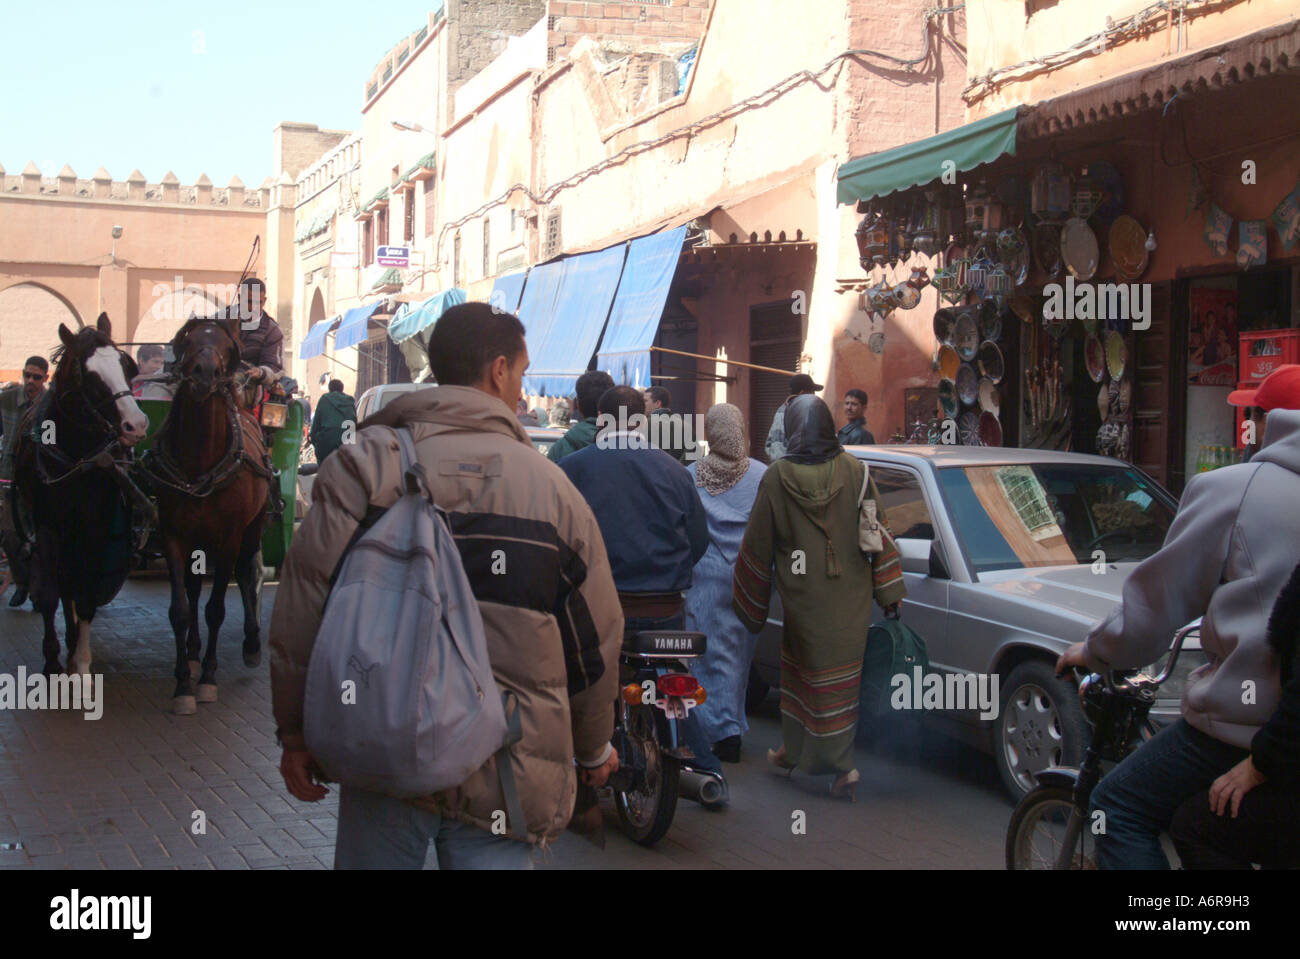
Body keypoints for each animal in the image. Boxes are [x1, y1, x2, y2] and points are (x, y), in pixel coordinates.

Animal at [13, 314, 149, 670]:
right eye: (88, 376)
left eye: (126, 365)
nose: (137, 424)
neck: (74, 456)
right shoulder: (47, 525)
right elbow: (49, 593)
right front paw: (51, 660)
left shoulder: (96, 524)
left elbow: (86, 589)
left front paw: (82, 663)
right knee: (61, 581)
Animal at [146, 311, 270, 712]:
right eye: (188, 341)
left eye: (228, 347)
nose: (204, 373)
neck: (199, 458)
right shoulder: (173, 533)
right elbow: (181, 608)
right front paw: (184, 682)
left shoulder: (229, 537)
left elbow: (216, 608)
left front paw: (208, 680)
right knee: (193, 587)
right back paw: (193, 652)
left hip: (253, 527)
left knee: (247, 574)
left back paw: (251, 644)